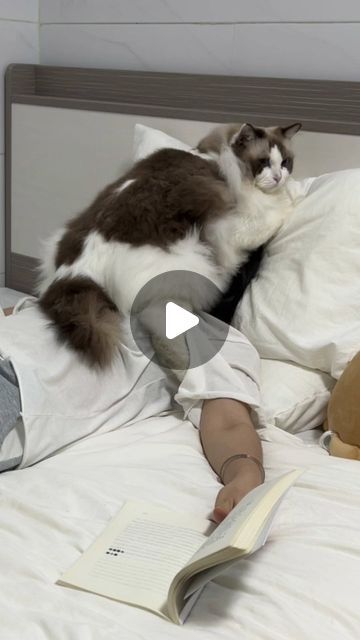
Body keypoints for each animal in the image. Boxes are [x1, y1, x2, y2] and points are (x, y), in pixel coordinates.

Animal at [37, 122, 300, 368]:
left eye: (285, 162)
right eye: (264, 162)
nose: (279, 177)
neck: (219, 157)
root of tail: (75, 272)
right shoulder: (239, 226)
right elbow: (281, 210)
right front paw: (292, 197)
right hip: (191, 264)